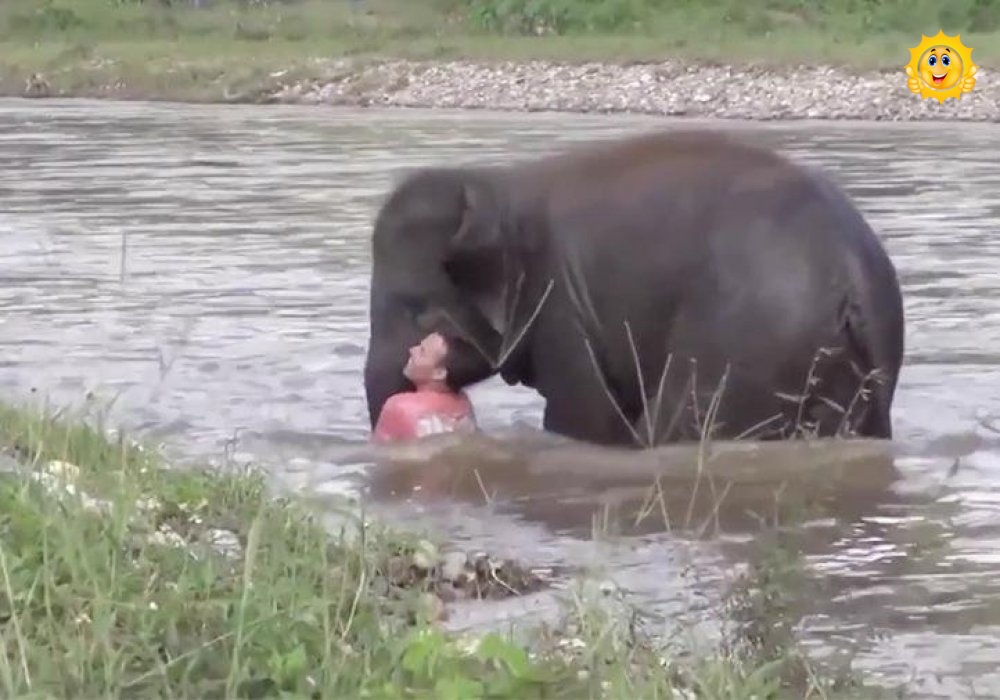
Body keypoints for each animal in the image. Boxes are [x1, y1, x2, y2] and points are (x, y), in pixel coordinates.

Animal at [366, 130, 908, 448]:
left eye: (415, 310)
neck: (498, 186)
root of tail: (853, 277)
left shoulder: (561, 307)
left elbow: (577, 418)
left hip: (746, 345)